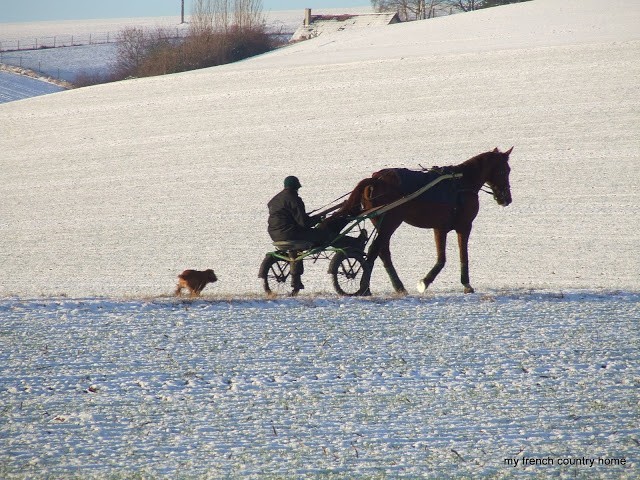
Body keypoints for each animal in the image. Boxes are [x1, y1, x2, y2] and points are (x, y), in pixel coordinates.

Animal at [334, 147, 513, 295]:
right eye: (505, 170)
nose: (507, 199)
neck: (462, 183)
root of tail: (376, 179)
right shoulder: (464, 226)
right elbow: (458, 256)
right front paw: (431, 283)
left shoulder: (440, 227)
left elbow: (443, 258)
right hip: (390, 222)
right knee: (375, 250)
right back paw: (365, 287)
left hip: (382, 223)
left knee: (382, 251)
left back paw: (398, 287)